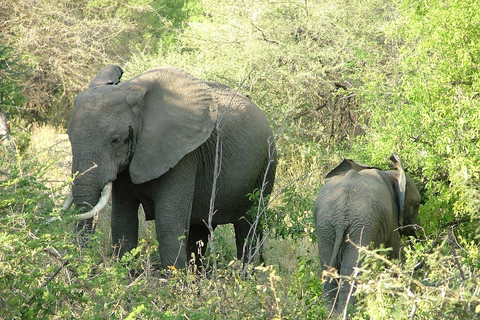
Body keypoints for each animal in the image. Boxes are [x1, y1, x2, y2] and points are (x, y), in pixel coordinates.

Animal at [62, 64, 278, 268]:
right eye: (69, 137)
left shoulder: (183, 155)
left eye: (115, 140)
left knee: (248, 227)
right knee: (199, 230)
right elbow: (122, 220)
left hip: (265, 166)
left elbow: (168, 223)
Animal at [314, 154, 418, 314]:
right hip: (361, 225)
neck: (391, 173)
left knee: (328, 270)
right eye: (416, 205)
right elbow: (393, 255)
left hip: (325, 227)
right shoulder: (392, 218)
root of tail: (340, 216)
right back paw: (347, 312)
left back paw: (332, 313)